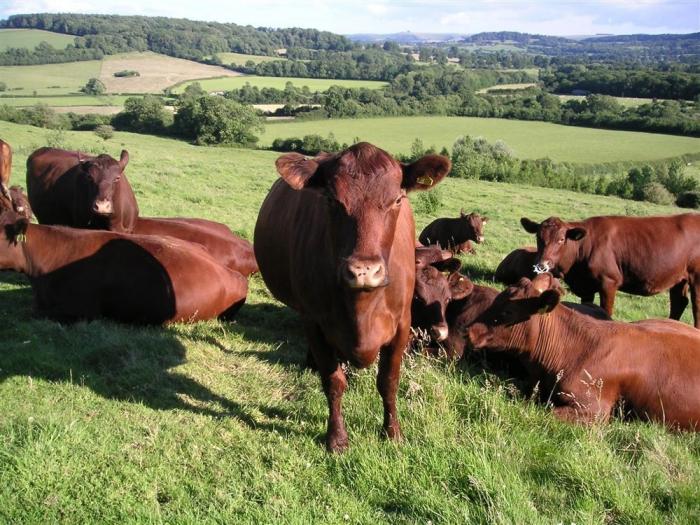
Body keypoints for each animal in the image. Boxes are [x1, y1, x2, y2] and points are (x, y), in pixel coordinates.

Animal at [254, 142, 452, 450]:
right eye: (331, 200)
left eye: (397, 200)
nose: (364, 271)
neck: (363, 311)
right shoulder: (314, 322)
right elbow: (333, 382)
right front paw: (336, 438)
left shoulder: (402, 325)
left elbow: (389, 381)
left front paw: (392, 432)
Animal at [524, 214, 700, 328]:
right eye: (538, 237)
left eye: (561, 239)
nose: (542, 264)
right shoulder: (586, 286)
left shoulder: (608, 282)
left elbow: (606, 311)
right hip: (679, 278)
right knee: (679, 302)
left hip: (696, 278)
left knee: (696, 307)